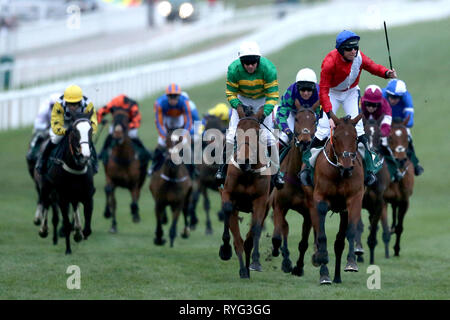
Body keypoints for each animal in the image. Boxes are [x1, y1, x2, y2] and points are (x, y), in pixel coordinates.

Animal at [37, 110, 96, 255]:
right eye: (75, 131)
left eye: (91, 129)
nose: (85, 156)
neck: (75, 168)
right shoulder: (62, 198)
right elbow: (67, 224)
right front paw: (68, 249)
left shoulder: (88, 196)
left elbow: (87, 229)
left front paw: (79, 234)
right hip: (46, 187)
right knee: (45, 202)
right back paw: (43, 230)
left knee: (74, 206)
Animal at [218, 109, 270, 278]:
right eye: (237, 132)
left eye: (257, 132)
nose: (244, 161)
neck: (247, 173)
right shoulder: (227, 194)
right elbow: (234, 233)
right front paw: (226, 250)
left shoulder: (261, 200)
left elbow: (256, 229)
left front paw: (254, 261)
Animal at [270, 106, 316, 276]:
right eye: (296, 119)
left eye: (314, 120)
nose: (304, 141)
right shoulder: (279, 205)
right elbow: (278, 236)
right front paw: (284, 259)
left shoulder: (309, 213)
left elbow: (303, 243)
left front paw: (299, 267)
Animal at [312, 113, 368, 284]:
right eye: (335, 137)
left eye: (356, 138)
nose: (347, 167)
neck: (338, 173)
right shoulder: (319, 199)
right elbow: (322, 235)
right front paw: (322, 261)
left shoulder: (354, 199)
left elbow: (350, 232)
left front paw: (351, 263)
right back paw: (324, 272)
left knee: (339, 243)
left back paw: (337, 277)